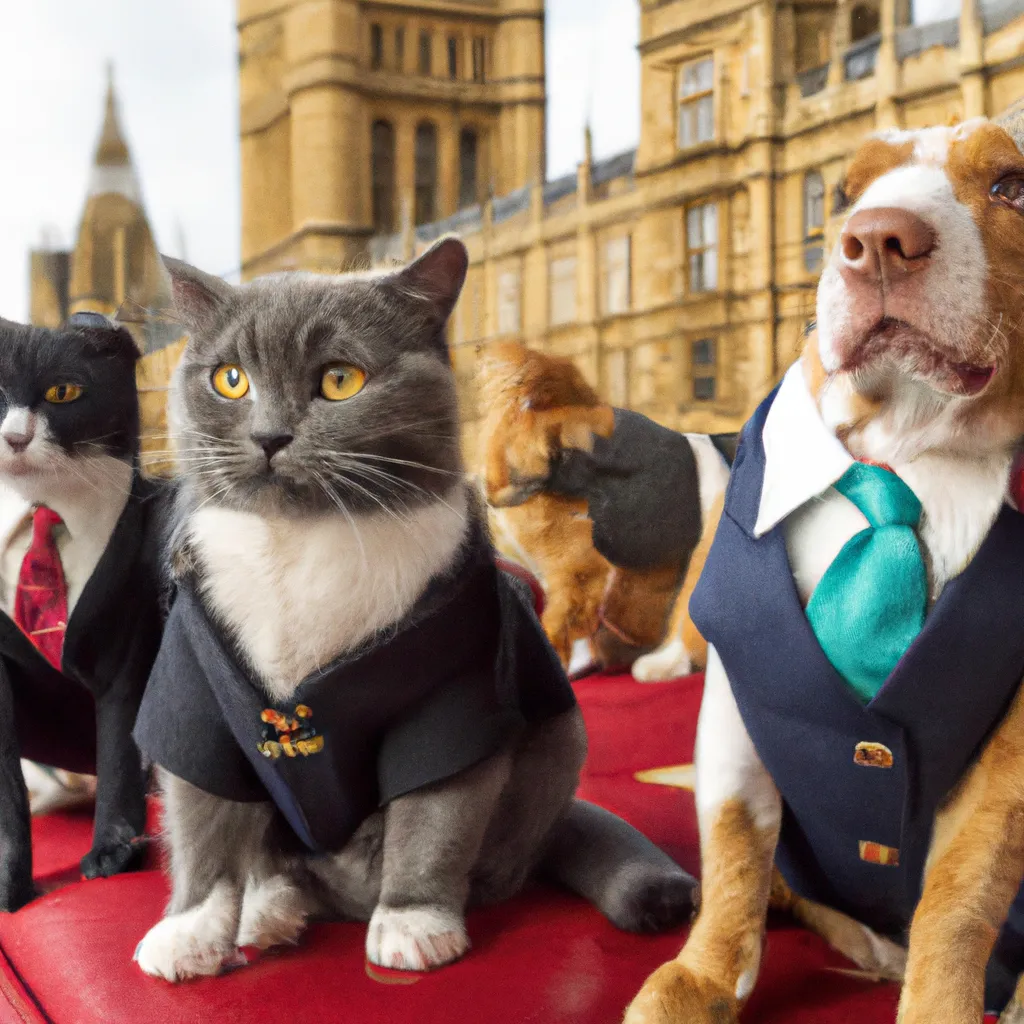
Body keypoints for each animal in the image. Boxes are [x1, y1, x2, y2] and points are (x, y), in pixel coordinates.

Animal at [0, 313, 167, 913]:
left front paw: (113, 856)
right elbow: (6, 790)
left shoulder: (127, 638)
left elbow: (119, 747)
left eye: (63, 392)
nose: (15, 437)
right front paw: (11, 891)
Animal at [130, 239, 696, 983]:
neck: (300, 542)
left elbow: (435, 816)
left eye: (340, 380)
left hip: (559, 744)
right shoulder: (197, 692)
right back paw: (268, 912)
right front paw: (186, 935)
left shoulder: (452, 688)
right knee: (273, 858)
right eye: (229, 380)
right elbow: (203, 815)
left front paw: (413, 925)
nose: (270, 435)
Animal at [622, 112, 1024, 1024]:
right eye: (842, 192)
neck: (907, 454)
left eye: (1013, 185)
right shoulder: (739, 700)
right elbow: (737, 851)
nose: (876, 239)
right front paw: (705, 975)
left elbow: (959, 898)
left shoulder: (1010, 758)